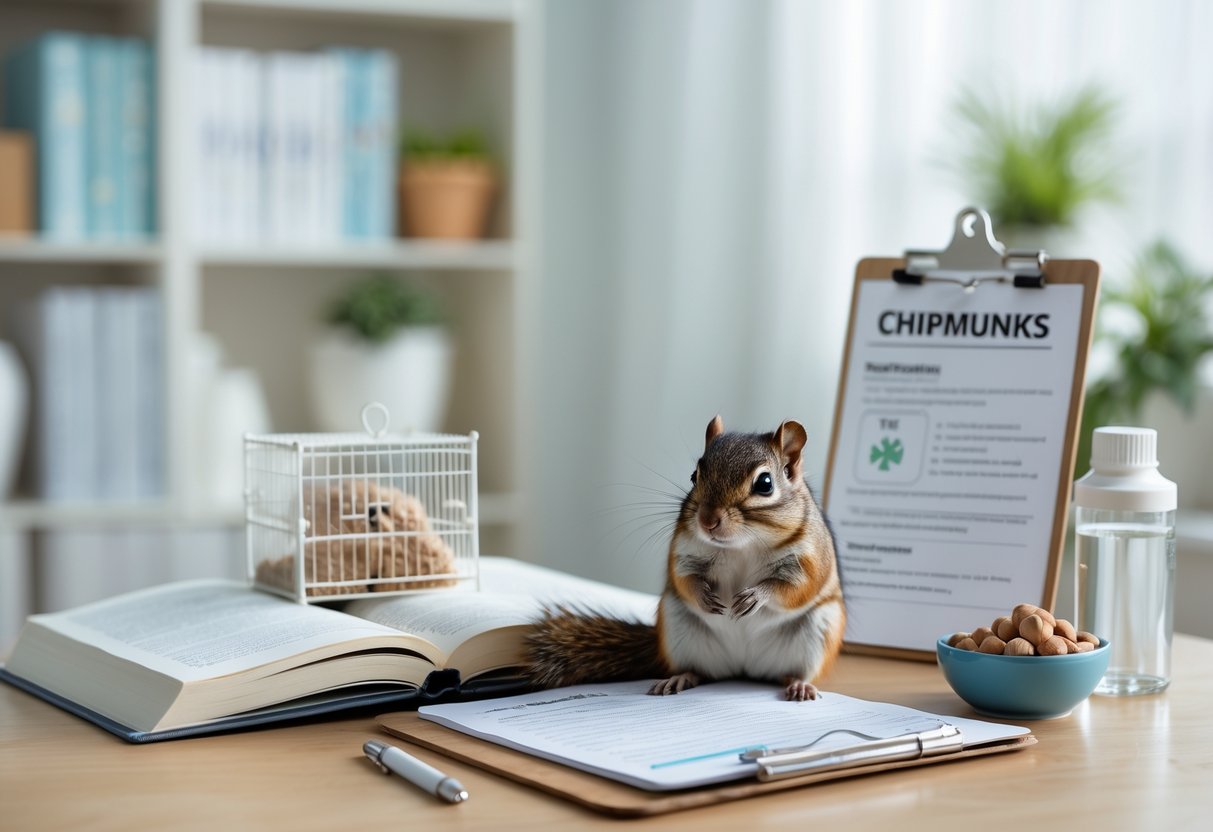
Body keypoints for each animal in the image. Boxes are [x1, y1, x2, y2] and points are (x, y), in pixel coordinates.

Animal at [524, 416, 846, 701]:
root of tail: (743, 668)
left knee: (791, 673)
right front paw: (703, 595)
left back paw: (800, 685)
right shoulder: (685, 551)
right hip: (678, 628)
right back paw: (680, 678)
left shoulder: (809, 558)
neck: (743, 544)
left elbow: (796, 587)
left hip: (817, 634)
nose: (707, 520)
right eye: (695, 476)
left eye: (765, 483)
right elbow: (683, 577)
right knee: (701, 672)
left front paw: (757, 595)